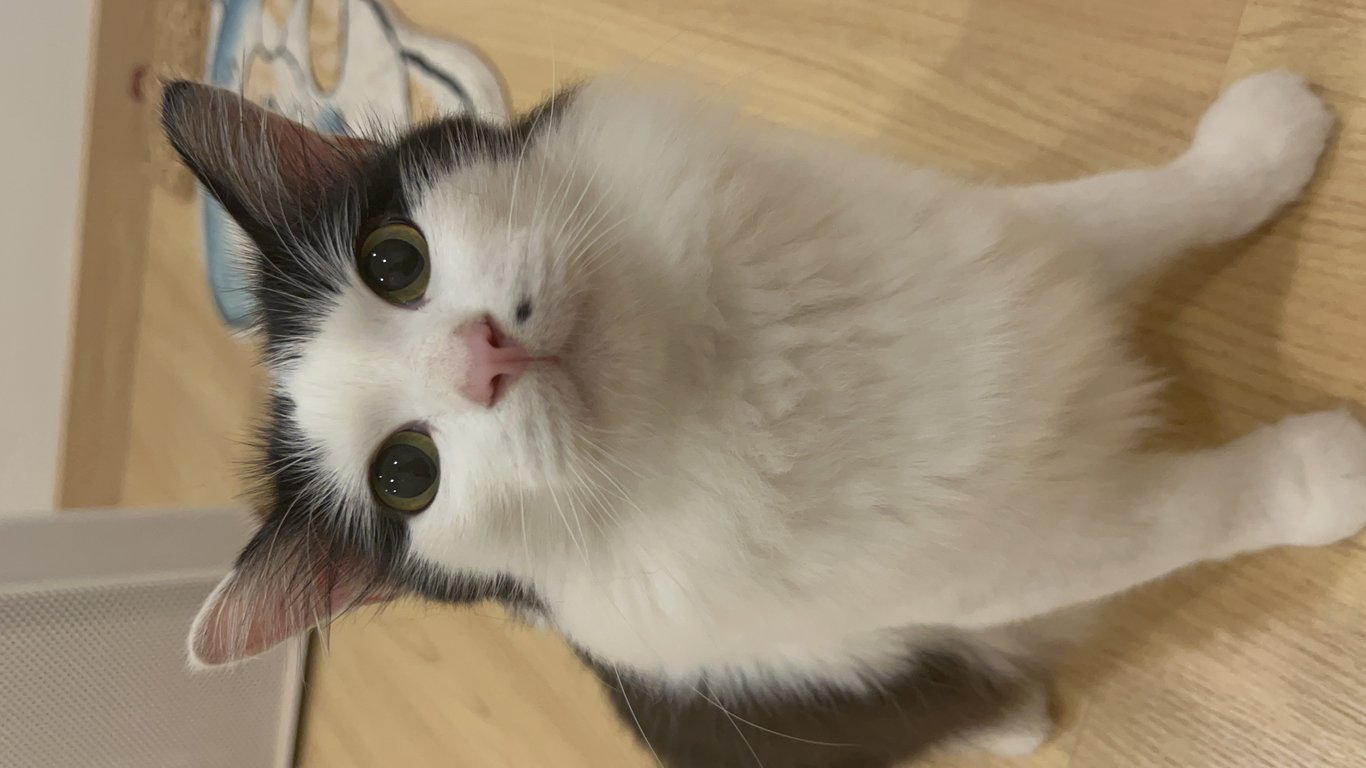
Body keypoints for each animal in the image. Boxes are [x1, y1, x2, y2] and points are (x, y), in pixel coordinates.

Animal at [161, 69, 1365, 767]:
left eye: (393, 261)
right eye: (405, 475)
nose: (482, 357)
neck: (726, 360)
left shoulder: (998, 248)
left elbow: (1138, 204)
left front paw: (1261, 143)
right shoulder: (1009, 551)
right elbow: (1187, 514)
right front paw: (1324, 474)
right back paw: (1013, 717)